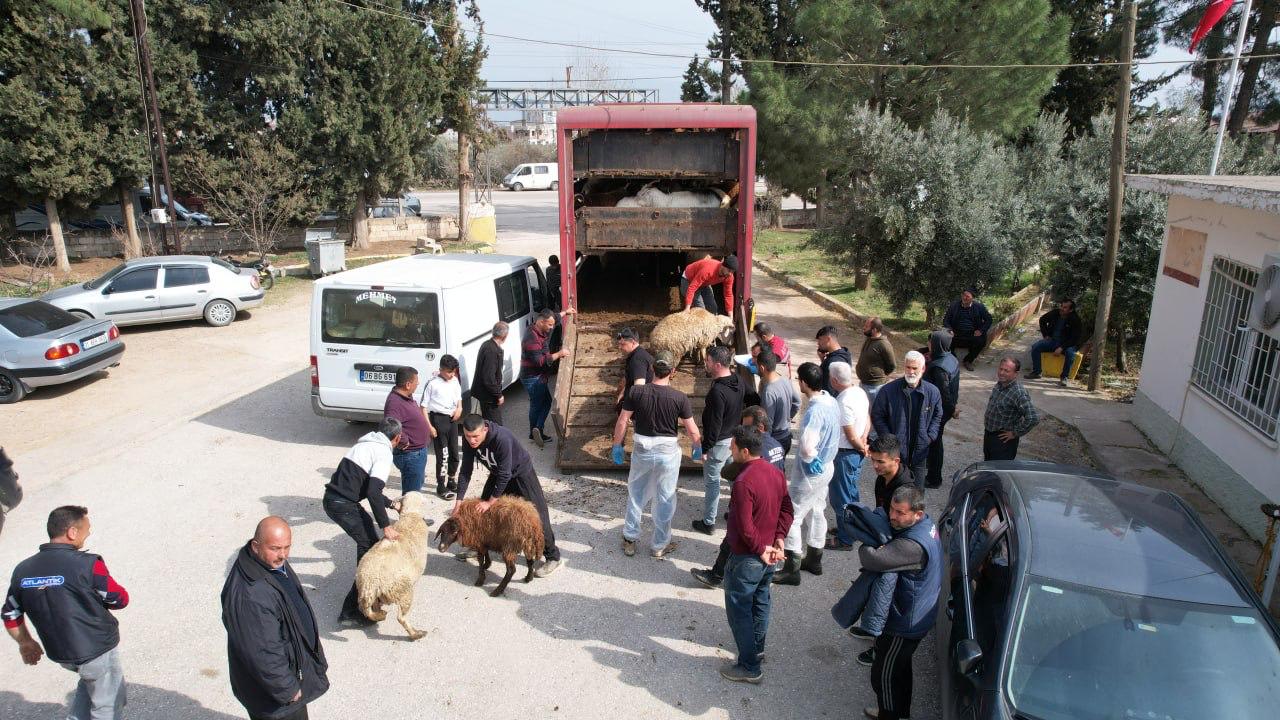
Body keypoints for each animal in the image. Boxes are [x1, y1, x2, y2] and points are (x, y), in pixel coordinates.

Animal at [358, 486, 432, 638]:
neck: (410, 515)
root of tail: (369, 584)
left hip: (373, 596)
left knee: (371, 611)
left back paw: (381, 614)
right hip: (403, 590)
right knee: (401, 617)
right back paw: (416, 634)